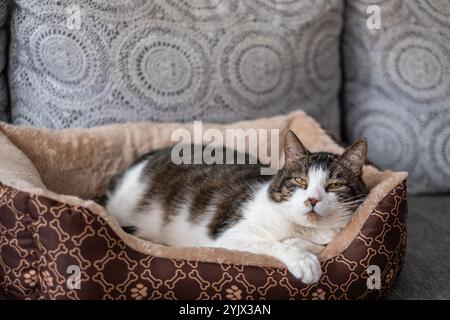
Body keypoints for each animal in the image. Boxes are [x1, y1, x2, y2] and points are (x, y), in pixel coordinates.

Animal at [107, 129, 368, 284]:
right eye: (300, 181)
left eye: (334, 185)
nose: (312, 200)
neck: (302, 227)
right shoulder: (230, 238)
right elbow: (272, 244)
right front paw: (303, 259)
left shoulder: (331, 234)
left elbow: (321, 243)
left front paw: (301, 244)